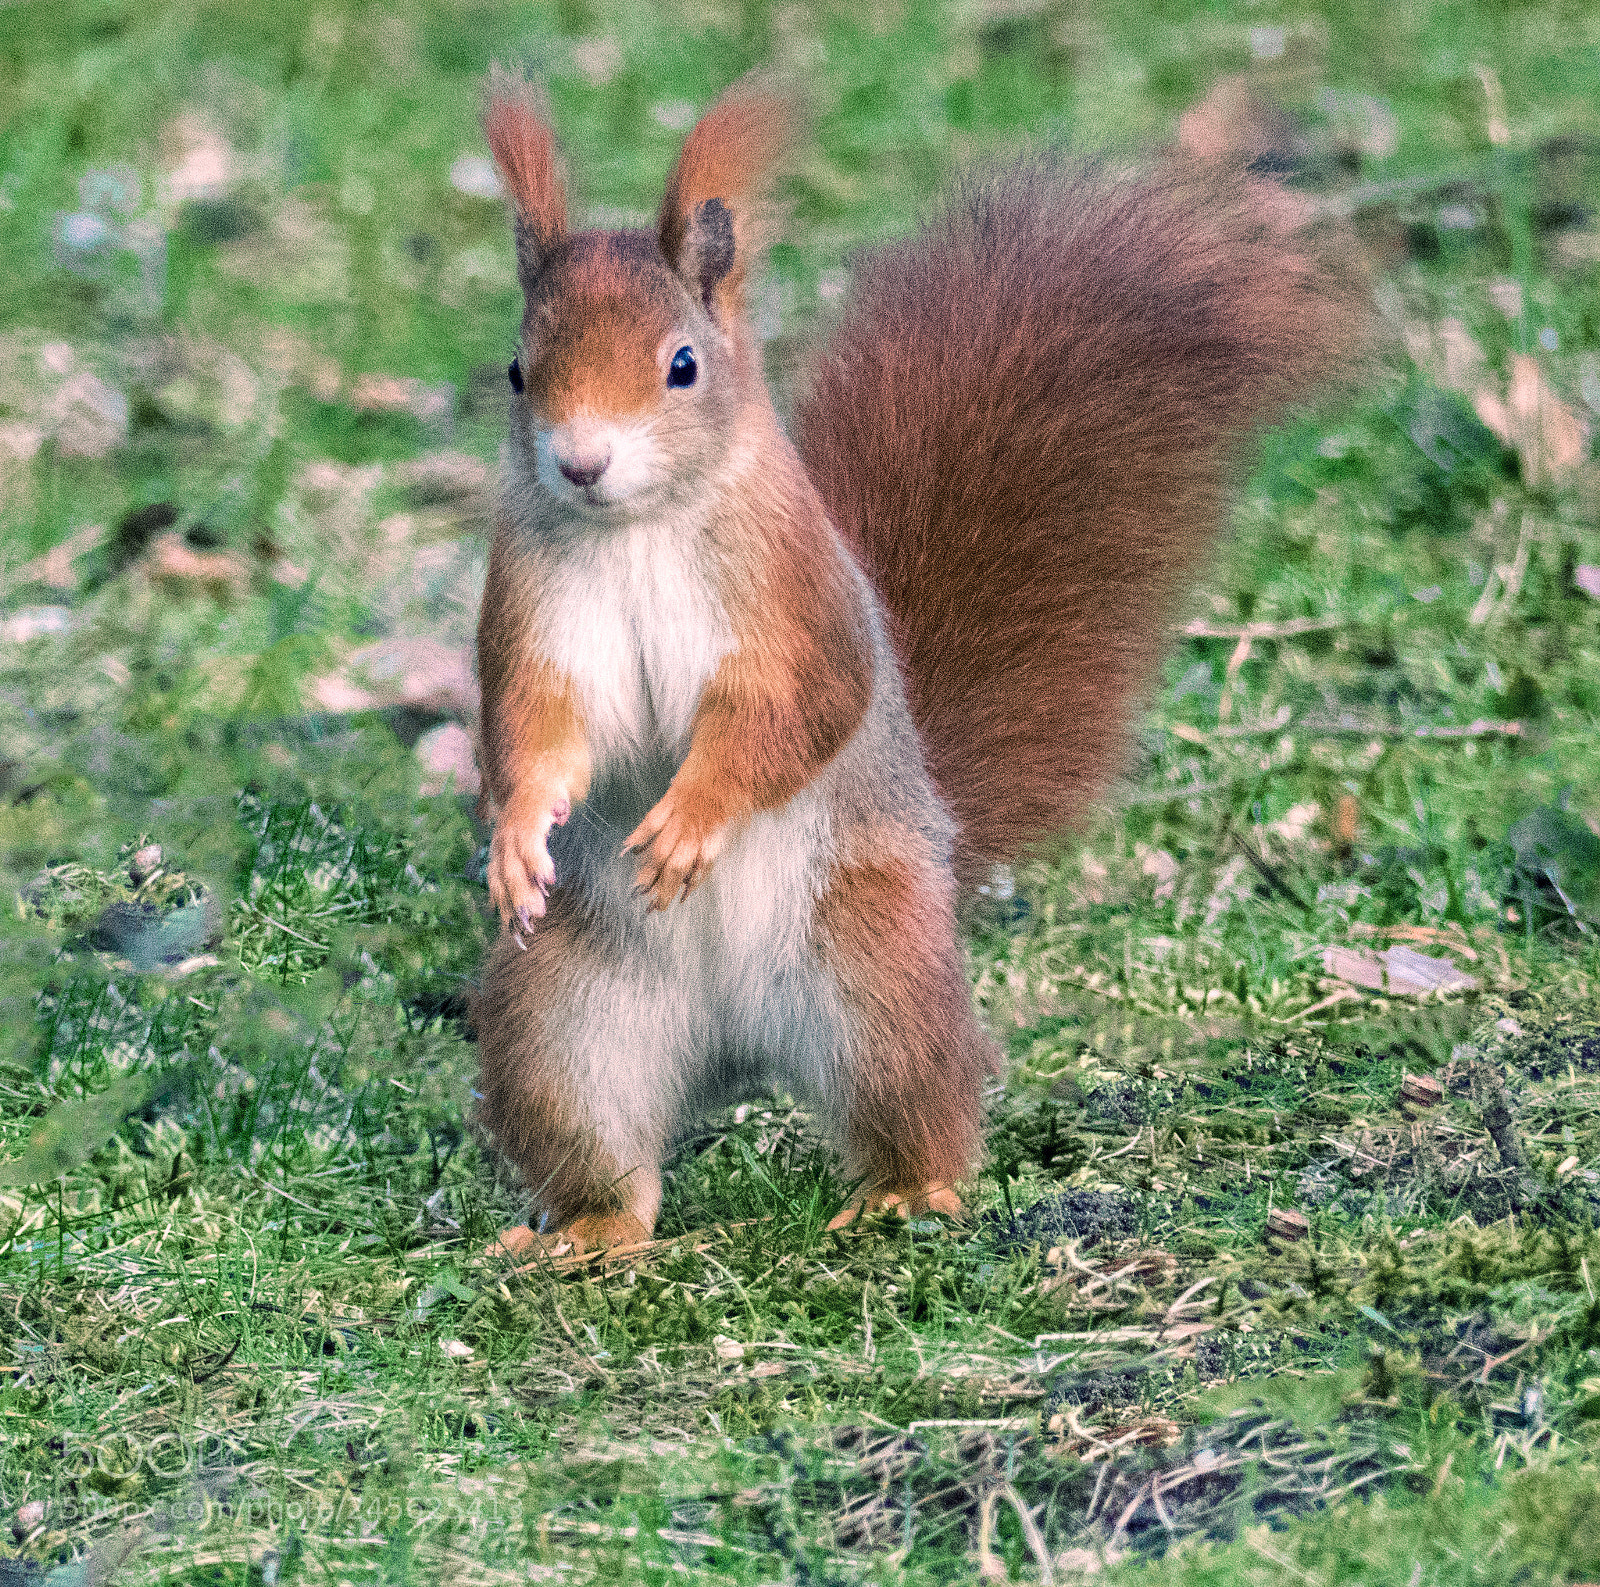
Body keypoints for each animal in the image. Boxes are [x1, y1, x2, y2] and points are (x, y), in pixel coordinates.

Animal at [472, 70, 1365, 1254]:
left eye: (681, 367)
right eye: (519, 371)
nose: (580, 463)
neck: (636, 531)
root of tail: (735, 1050)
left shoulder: (798, 601)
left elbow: (797, 711)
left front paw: (693, 817)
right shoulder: (532, 614)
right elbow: (534, 730)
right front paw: (517, 841)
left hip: (874, 969)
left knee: (920, 1098)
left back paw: (907, 1190)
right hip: (565, 1020)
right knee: (608, 1154)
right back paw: (587, 1231)